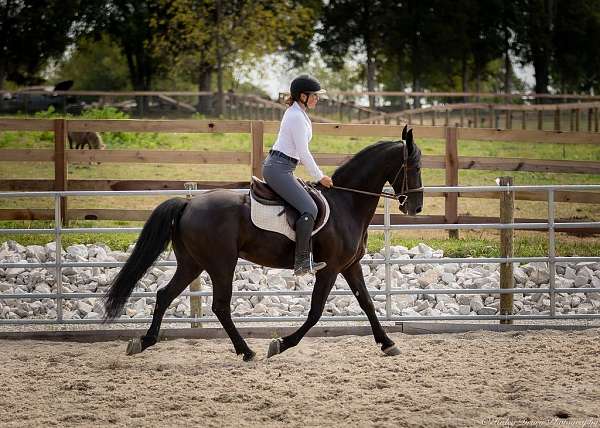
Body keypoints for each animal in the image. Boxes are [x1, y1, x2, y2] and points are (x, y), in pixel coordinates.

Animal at [102, 125, 422, 360]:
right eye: (414, 167)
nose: (415, 208)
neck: (346, 202)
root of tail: (188, 204)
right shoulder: (330, 269)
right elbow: (316, 311)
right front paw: (280, 343)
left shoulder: (350, 266)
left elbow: (367, 303)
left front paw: (388, 343)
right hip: (221, 264)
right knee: (220, 306)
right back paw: (246, 351)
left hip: (192, 263)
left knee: (164, 295)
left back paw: (144, 341)